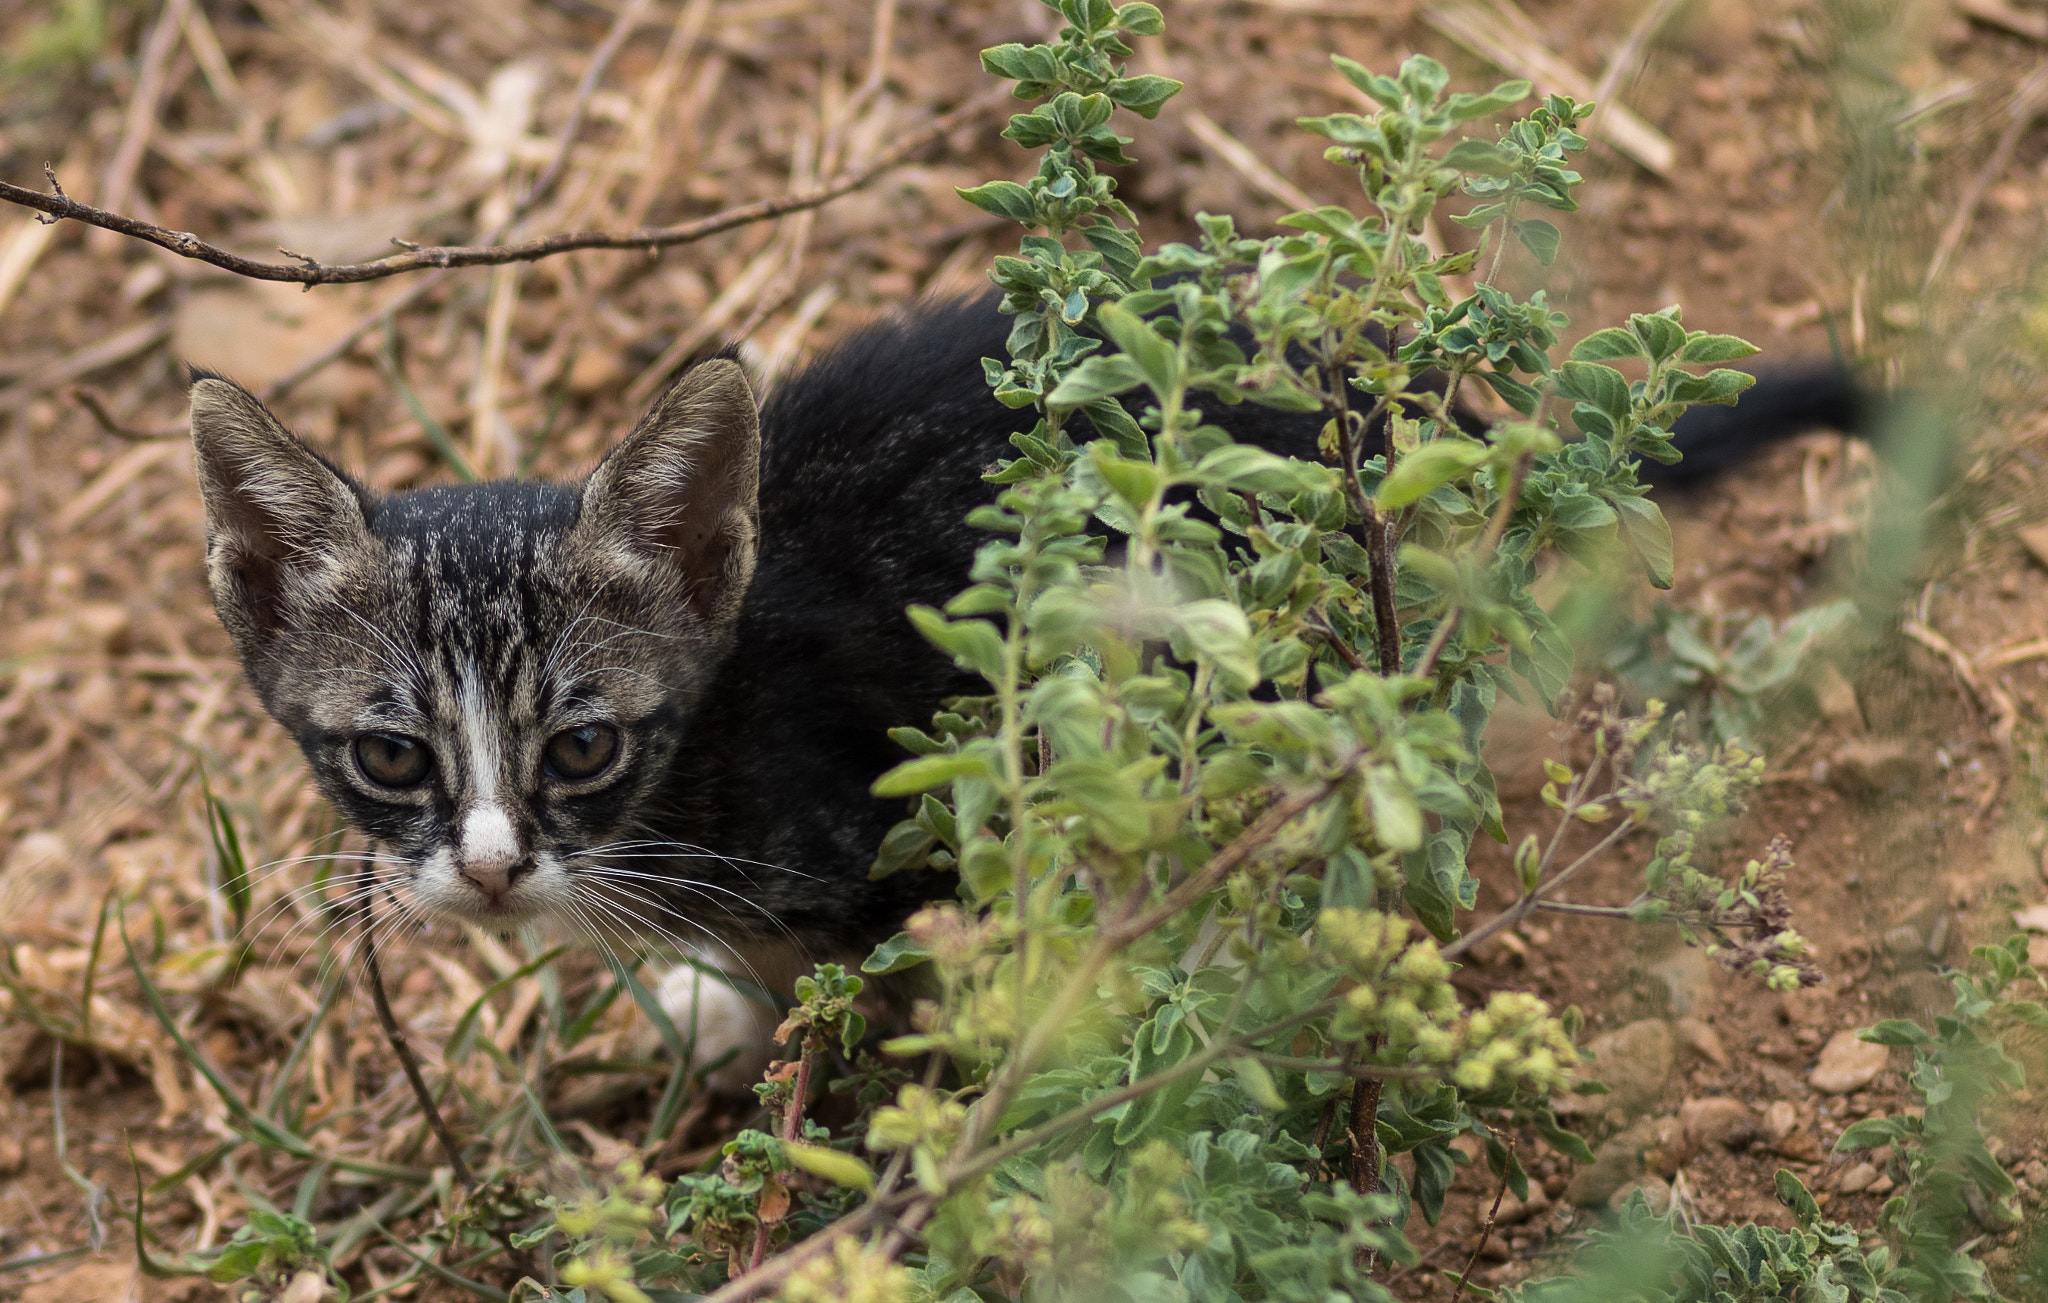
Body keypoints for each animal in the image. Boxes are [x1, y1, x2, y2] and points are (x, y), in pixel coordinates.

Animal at [192, 301, 1875, 1073]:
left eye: (585, 744)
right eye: (391, 757)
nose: (487, 869)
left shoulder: (874, 828)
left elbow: (848, 982)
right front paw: (713, 1003)